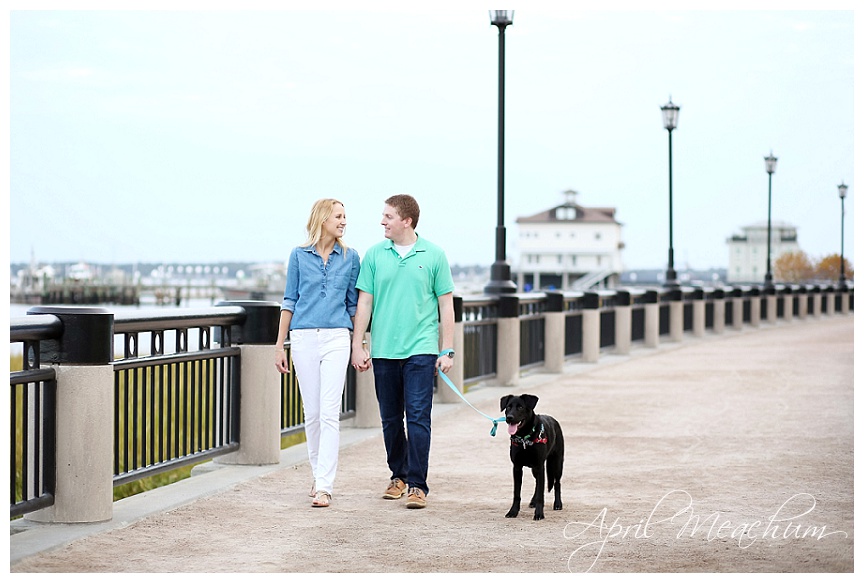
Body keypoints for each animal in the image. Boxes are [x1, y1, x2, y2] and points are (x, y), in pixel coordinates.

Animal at [500, 394, 568, 524]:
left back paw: (557, 504)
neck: (524, 438)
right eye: (508, 407)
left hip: (557, 463)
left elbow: (541, 493)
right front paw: (513, 512)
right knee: (537, 484)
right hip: (535, 469)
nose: (509, 418)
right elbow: (517, 493)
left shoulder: (539, 466)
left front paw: (539, 514)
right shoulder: (517, 467)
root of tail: (554, 420)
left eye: (520, 407)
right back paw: (533, 501)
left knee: (557, 483)